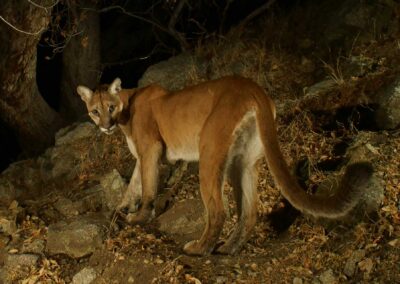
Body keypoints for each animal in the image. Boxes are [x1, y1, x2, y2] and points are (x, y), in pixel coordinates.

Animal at [77, 75, 372, 255]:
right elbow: (135, 183)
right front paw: (122, 208)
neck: (127, 105)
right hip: (243, 162)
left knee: (219, 211)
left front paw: (139, 217)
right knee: (249, 211)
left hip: (209, 153)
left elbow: (148, 186)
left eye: (110, 107)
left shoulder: (150, 148)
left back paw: (199, 248)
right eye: (95, 111)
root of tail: (253, 88)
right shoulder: (142, 155)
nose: (105, 125)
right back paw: (230, 247)